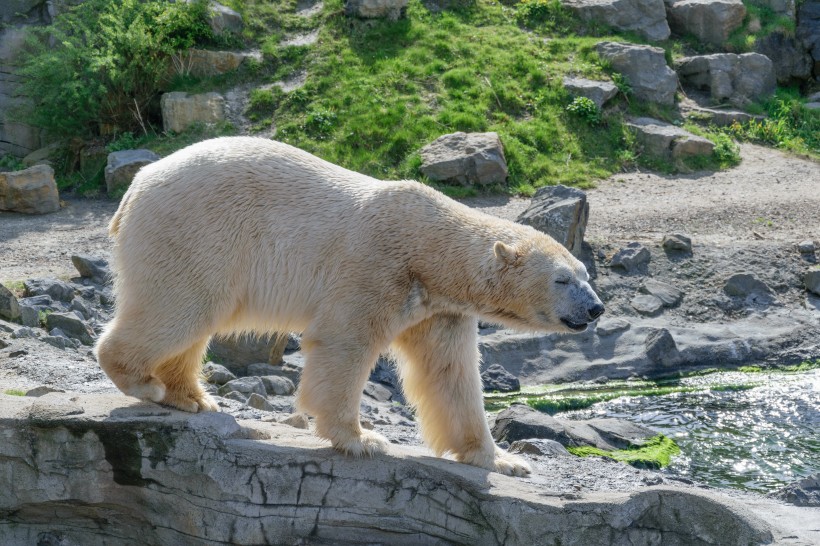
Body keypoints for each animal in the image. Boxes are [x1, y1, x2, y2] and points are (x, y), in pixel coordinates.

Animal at [96, 137, 604, 476]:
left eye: (585, 274)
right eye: (563, 279)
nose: (596, 309)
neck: (429, 250)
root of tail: (134, 188)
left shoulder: (439, 308)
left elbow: (450, 373)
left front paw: (501, 460)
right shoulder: (376, 266)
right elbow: (346, 342)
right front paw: (362, 439)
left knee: (193, 318)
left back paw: (191, 397)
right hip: (197, 232)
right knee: (178, 307)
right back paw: (144, 383)